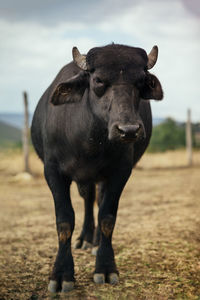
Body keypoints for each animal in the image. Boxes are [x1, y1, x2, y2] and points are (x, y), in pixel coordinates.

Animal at [30, 43, 162, 292]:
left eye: (141, 80)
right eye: (98, 80)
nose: (129, 130)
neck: (89, 142)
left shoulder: (121, 171)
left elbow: (107, 218)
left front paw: (106, 267)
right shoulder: (52, 171)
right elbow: (64, 220)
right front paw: (61, 274)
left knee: (97, 200)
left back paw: (96, 242)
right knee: (87, 199)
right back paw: (85, 239)